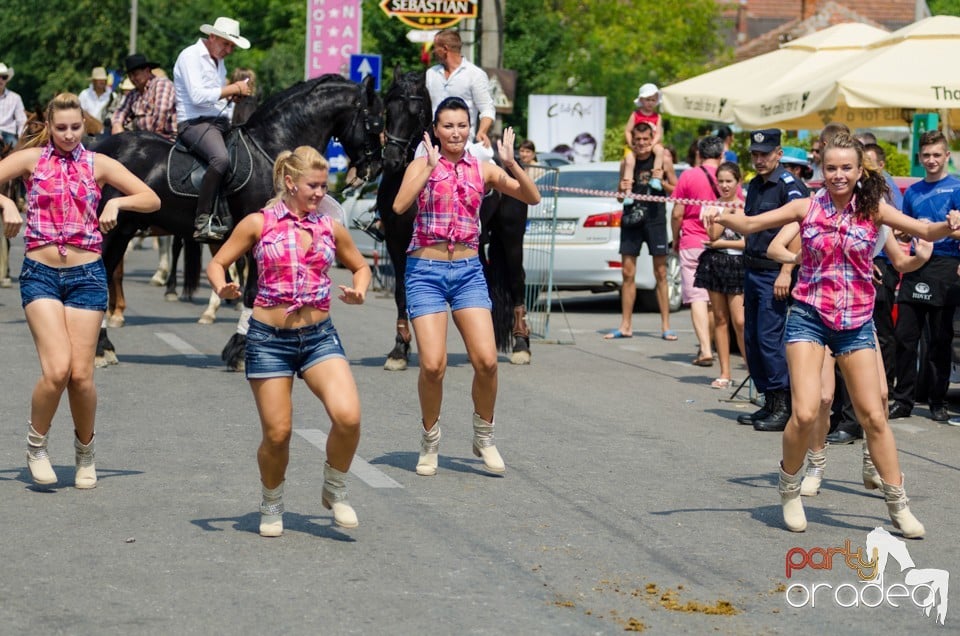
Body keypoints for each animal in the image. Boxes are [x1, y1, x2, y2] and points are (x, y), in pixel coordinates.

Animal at [92, 76, 384, 368]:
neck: (273, 149)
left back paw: (103, 346)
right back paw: (99, 348)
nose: (375, 168)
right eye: (375, 123)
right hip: (110, 231)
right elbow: (253, 292)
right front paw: (241, 350)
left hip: (123, 230)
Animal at [376, 66, 532, 368]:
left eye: (415, 112)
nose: (391, 159)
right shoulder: (395, 241)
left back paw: (522, 346)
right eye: (388, 109)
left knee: (517, 278)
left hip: (511, 234)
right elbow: (401, 292)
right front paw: (399, 350)